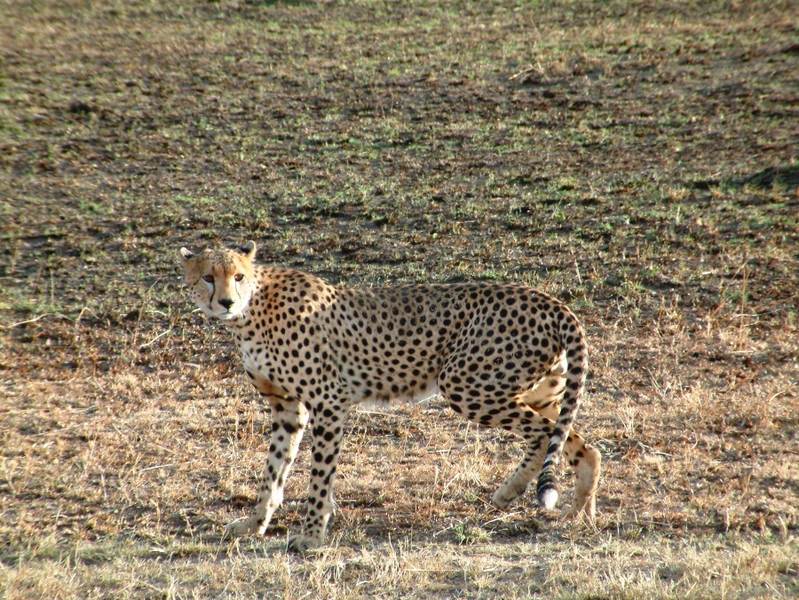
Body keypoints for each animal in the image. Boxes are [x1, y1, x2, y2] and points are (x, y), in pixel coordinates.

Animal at [180, 241, 600, 552]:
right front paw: (255, 523)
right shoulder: (287, 407)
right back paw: (576, 511)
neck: (253, 310)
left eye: (238, 276)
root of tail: (549, 299)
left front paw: (312, 533)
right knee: (577, 442)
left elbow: (319, 475)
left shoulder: (328, 402)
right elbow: (273, 471)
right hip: (536, 390)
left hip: (466, 383)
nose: (226, 302)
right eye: (208, 277)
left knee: (545, 434)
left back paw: (521, 495)